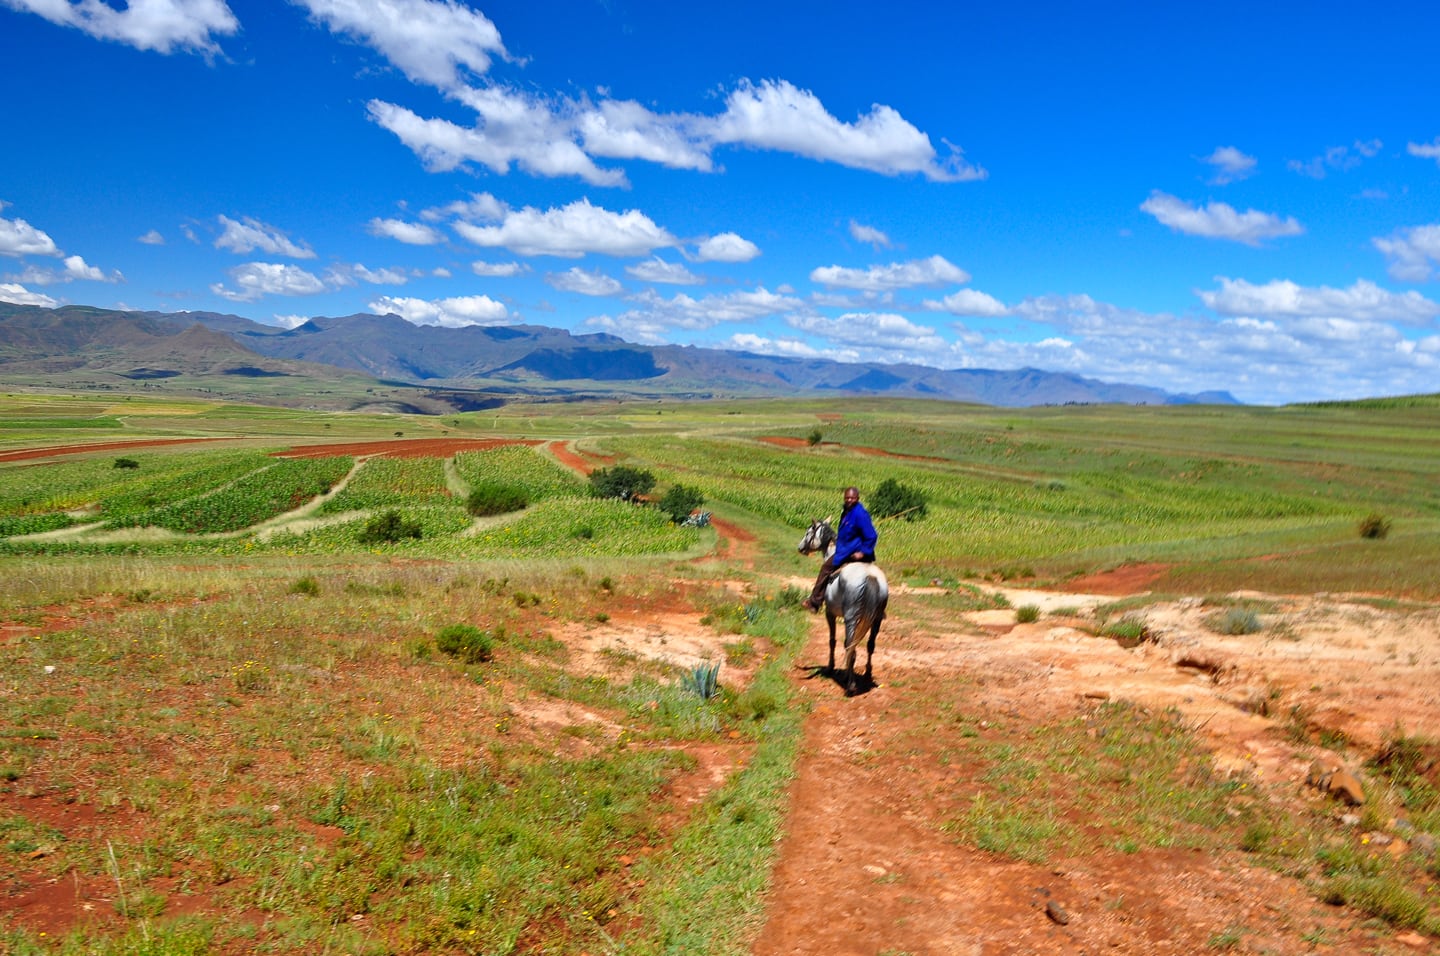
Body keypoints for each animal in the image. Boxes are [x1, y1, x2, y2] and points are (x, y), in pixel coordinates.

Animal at [800, 518, 887, 699]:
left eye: (808, 532)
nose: (800, 547)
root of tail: (871, 576)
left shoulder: (830, 613)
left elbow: (832, 640)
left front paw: (830, 667)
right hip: (876, 620)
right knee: (869, 645)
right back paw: (866, 674)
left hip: (851, 618)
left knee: (850, 646)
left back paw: (850, 685)